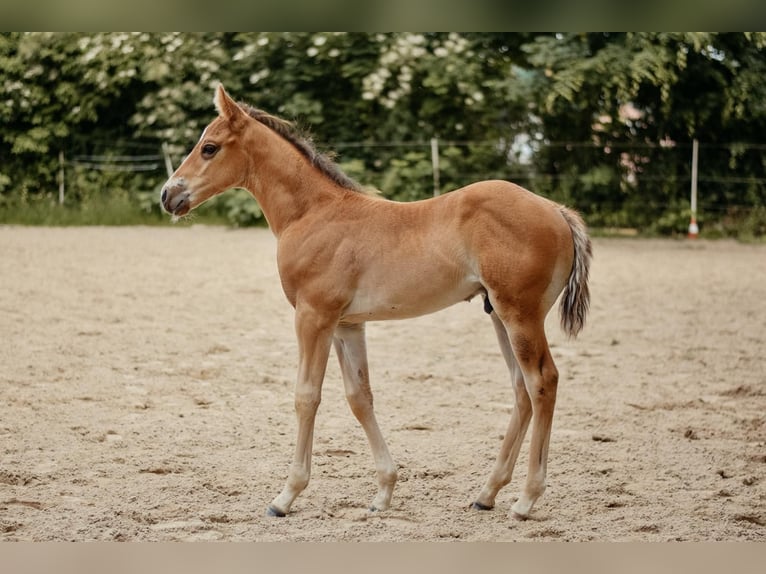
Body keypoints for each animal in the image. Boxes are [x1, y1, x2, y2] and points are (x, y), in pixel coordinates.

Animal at [161, 84, 592, 520]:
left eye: (210, 147)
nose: (168, 194)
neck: (312, 214)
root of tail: (556, 210)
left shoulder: (313, 317)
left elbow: (306, 397)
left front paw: (286, 496)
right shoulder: (346, 325)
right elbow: (360, 398)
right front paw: (384, 492)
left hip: (520, 314)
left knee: (542, 382)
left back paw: (526, 499)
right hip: (499, 315)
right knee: (521, 390)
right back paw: (487, 493)